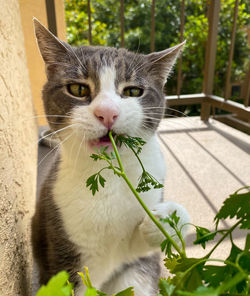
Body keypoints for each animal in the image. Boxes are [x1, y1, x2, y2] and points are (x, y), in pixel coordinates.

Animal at [32, 17, 190, 296]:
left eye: (133, 91)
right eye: (77, 89)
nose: (107, 112)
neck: (111, 179)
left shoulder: (134, 256)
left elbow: (142, 248)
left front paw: (164, 220)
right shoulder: (64, 244)